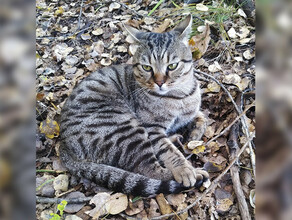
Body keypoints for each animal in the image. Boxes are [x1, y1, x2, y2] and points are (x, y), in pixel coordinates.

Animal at [59, 15, 209, 196]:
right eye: (147, 67)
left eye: (172, 66)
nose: (159, 83)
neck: (181, 95)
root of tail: (64, 145)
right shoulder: (152, 127)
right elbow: (168, 151)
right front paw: (184, 169)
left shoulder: (190, 110)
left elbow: (202, 116)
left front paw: (195, 134)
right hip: (126, 129)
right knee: (149, 169)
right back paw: (194, 172)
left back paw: (176, 139)